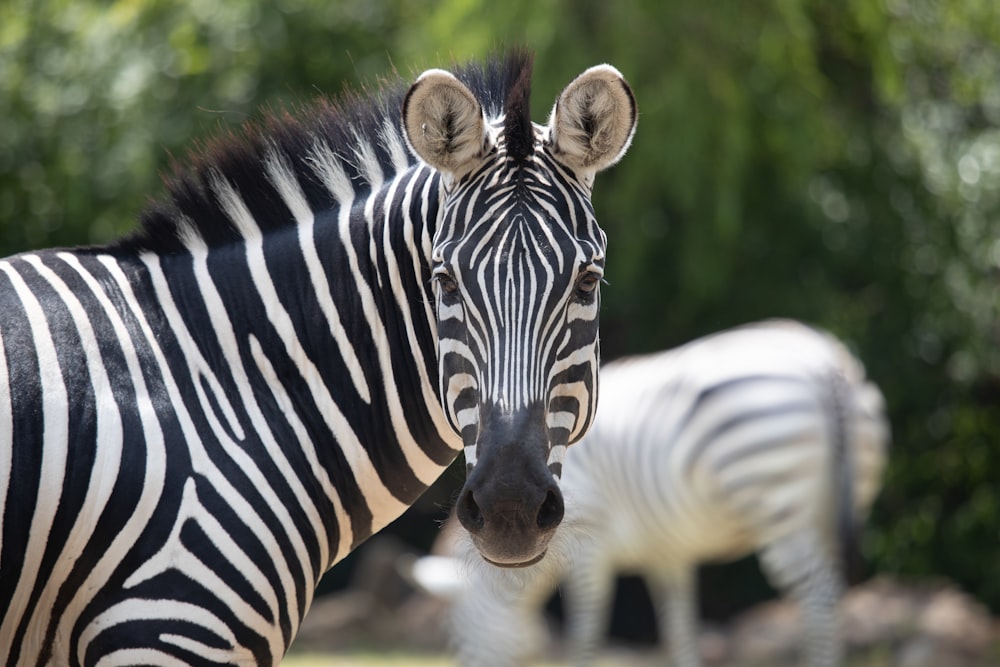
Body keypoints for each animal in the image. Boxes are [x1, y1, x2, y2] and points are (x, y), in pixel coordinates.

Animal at [428, 318, 884, 667]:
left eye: (456, 634)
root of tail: (826, 365)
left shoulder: (589, 545)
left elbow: (586, 634)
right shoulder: (666, 551)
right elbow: (679, 631)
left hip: (779, 506)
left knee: (820, 599)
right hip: (831, 506)